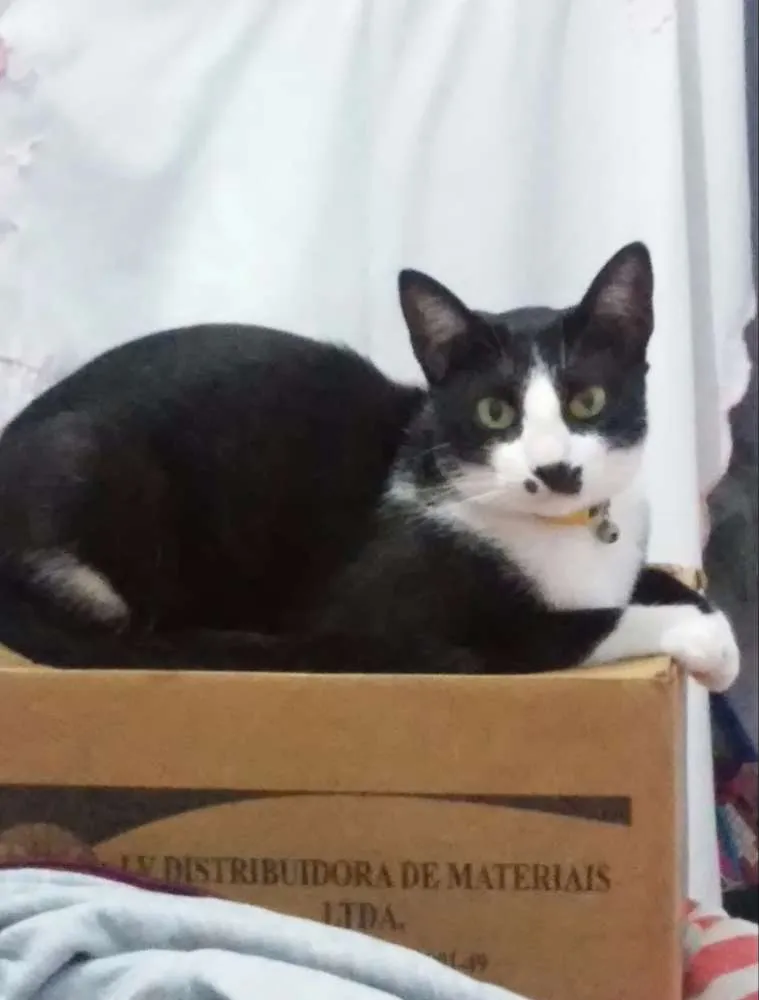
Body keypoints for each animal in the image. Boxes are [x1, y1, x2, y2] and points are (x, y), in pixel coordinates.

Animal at [0, 242, 739, 690]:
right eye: (494, 413)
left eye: (587, 401)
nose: (556, 470)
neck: (561, 533)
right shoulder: (395, 620)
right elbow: (586, 624)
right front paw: (702, 643)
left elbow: (658, 581)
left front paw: (717, 633)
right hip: (93, 464)